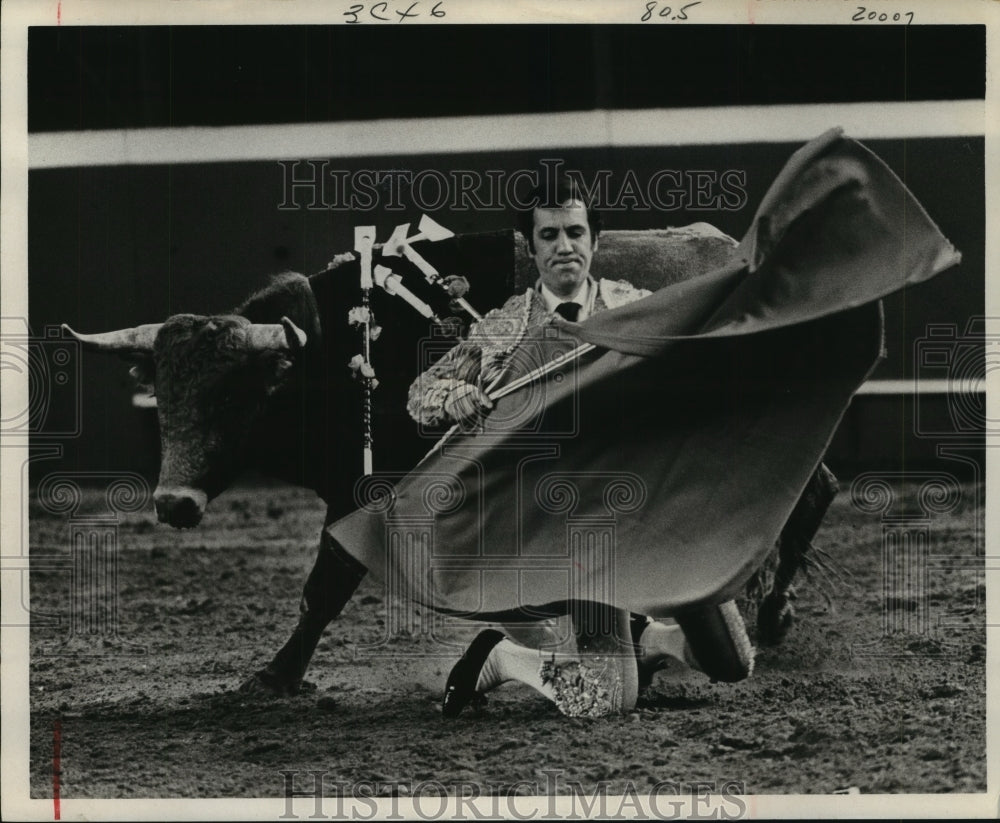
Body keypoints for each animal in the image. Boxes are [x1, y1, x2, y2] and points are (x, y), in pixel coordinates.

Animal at [64, 227, 833, 696]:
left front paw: (277, 674)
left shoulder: (364, 494)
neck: (334, 358)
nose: (174, 503)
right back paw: (763, 616)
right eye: (164, 395)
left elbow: (327, 583)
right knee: (811, 490)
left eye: (231, 397)